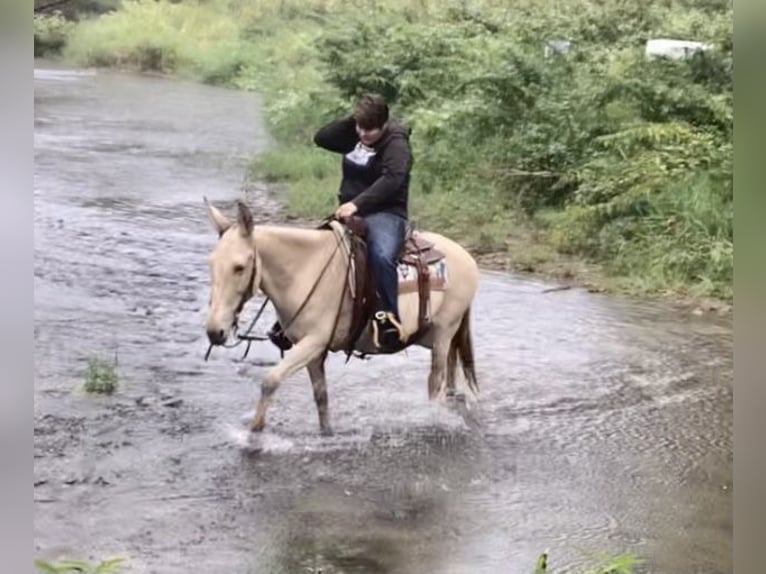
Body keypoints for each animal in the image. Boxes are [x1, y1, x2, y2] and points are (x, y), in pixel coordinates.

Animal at [204, 199, 480, 436]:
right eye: (211, 263)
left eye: (239, 267)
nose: (214, 331)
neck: (305, 269)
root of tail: (466, 257)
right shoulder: (313, 351)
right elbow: (321, 396)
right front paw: (327, 433)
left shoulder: (313, 342)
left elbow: (270, 380)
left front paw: (255, 432)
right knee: (450, 373)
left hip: (444, 331)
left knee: (435, 380)